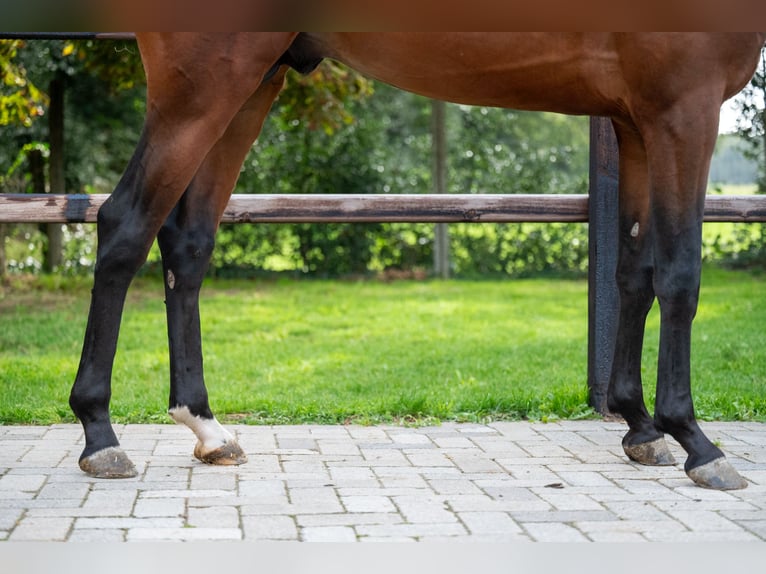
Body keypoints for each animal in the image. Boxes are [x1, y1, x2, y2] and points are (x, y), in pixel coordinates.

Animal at [69, 32, 764, 490]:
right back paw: (100, 434)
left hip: (249, 84)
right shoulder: (684, 104)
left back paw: (208, 430)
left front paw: (640, 426)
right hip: (203, 86)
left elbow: (634, 273)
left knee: (186, 245)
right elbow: (679, 274)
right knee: (123, 226)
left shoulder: (636, 116)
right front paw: (694, 440)